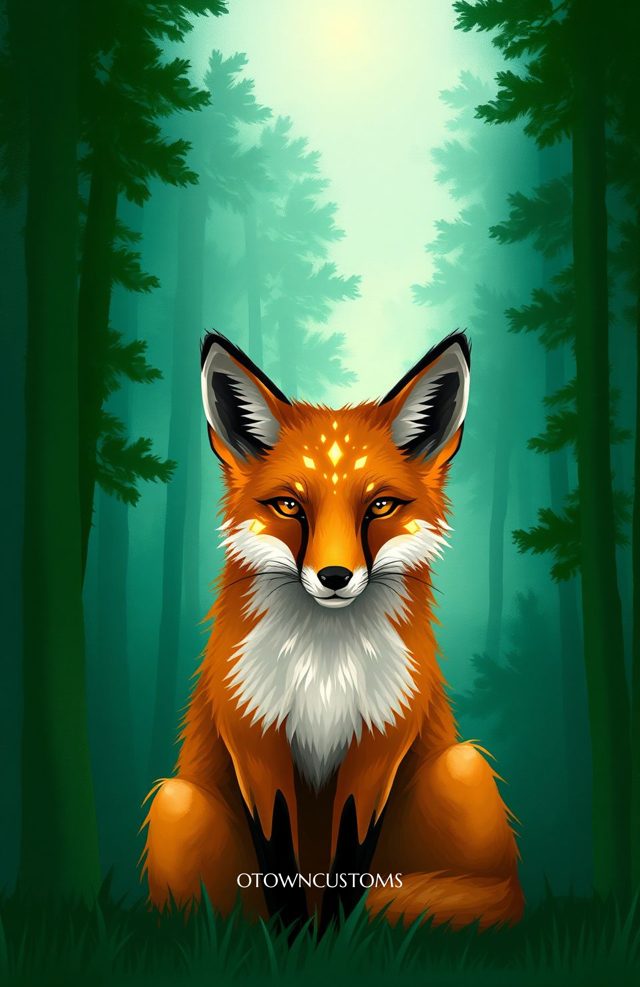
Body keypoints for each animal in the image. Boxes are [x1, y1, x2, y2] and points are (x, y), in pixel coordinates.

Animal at [142, 331, 524, 932]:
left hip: (465, 765)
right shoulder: (256, 740)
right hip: (175, 802)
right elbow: (279, 860)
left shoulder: (380, 741)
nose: (335, 577)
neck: (325, 668)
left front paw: (335, 939)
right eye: (289, 505)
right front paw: (294, 939)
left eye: (381, 505)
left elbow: (350, 859)